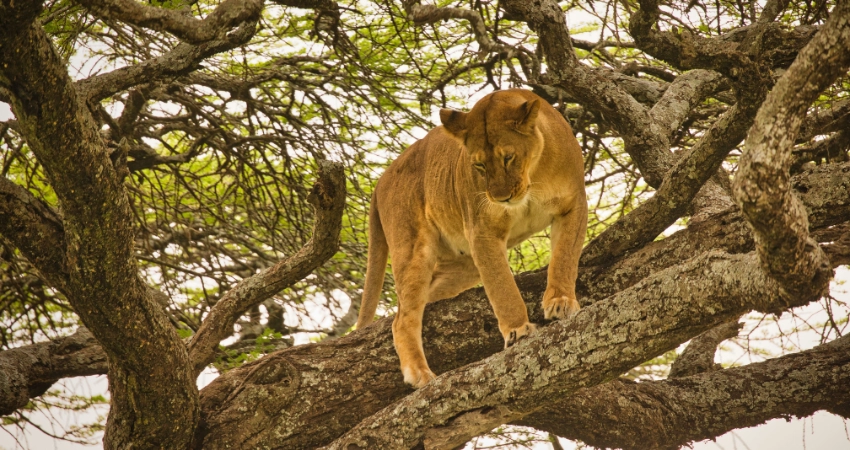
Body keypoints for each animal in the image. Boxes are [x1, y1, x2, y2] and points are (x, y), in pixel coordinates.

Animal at [356, 89, 587, 388]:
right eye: (478, 165)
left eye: (508, 157)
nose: (501, 198)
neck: (532, 177)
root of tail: (380, 181)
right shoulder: (482, 231)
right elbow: (502, 287)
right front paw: (518, 331)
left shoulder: (573, 205)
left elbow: (565, 258)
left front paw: (560, 302)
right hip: (414, 248)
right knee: (402, 318)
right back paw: (419, 373)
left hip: (461, 268)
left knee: (410, 306)